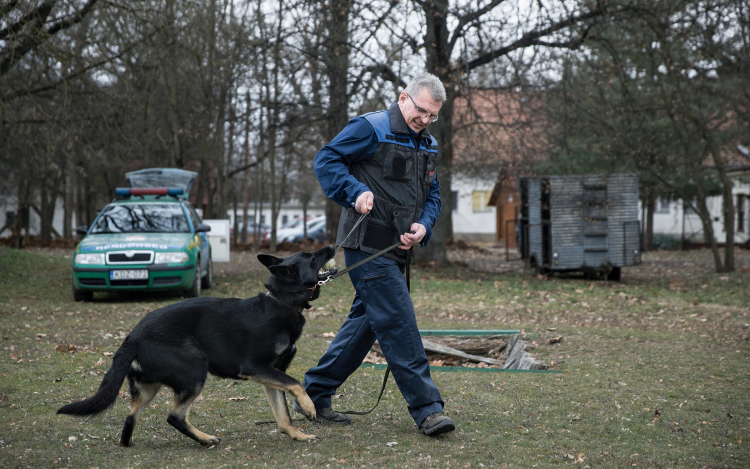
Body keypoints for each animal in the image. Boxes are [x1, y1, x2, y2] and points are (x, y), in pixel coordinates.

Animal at [58, 245, 338, 446]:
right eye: (311, 257)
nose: (333, 245)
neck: (282, 301)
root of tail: (132, 338)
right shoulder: (255, 368)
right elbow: (296, 384)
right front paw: (310, 407)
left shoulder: (271, 375)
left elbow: (283, 415)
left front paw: (297, 435)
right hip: (195, 370)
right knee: (174, 416)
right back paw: (205, 439)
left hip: (148, 387)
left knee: (130, 416)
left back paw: (129, 444)